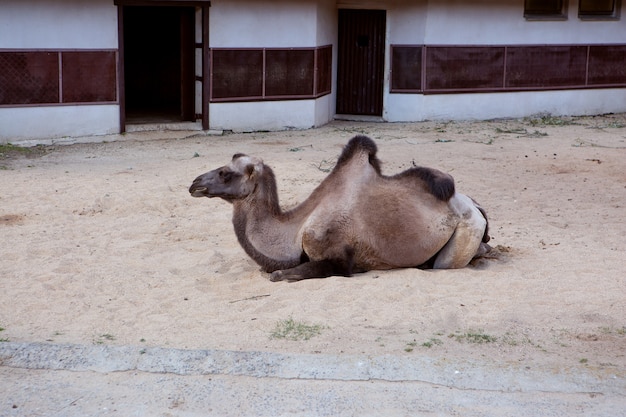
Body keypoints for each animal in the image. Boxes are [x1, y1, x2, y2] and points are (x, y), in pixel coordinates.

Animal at [188, 135, 490, 282]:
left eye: (225, 173)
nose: (194, 183)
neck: (295, 231)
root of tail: (475, 207)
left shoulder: (335, 253)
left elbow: (282, 274)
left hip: (466, 229)